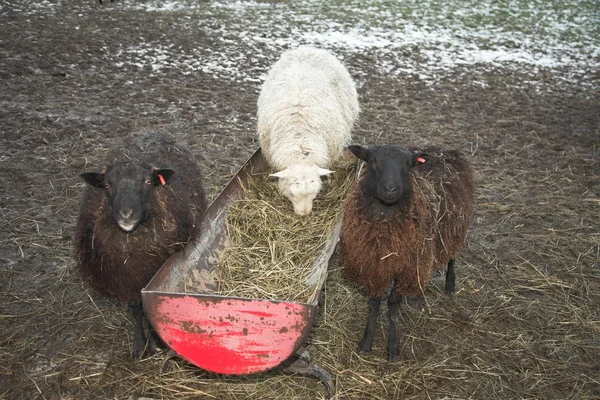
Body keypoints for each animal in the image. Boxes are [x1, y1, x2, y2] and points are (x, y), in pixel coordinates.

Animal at [73, 132, 206, 360]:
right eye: (107, 185)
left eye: (147, 181)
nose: (126, 214)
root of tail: (149, 131)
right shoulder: (128, 282)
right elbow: (136, 310)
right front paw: (138, 345)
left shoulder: (153, 277)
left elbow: (151, 308)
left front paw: (155, 343)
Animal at [338, 143, 474, 360]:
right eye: (373, 160)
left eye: (408, 164)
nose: (390, 189)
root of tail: (443, 149)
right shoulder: (375, 265)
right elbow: (374, 303)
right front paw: (366, 342)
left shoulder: (408, 268)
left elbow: (393, 305)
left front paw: (393, 347)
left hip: (454, 227)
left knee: (452, 256)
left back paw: (450, 284)